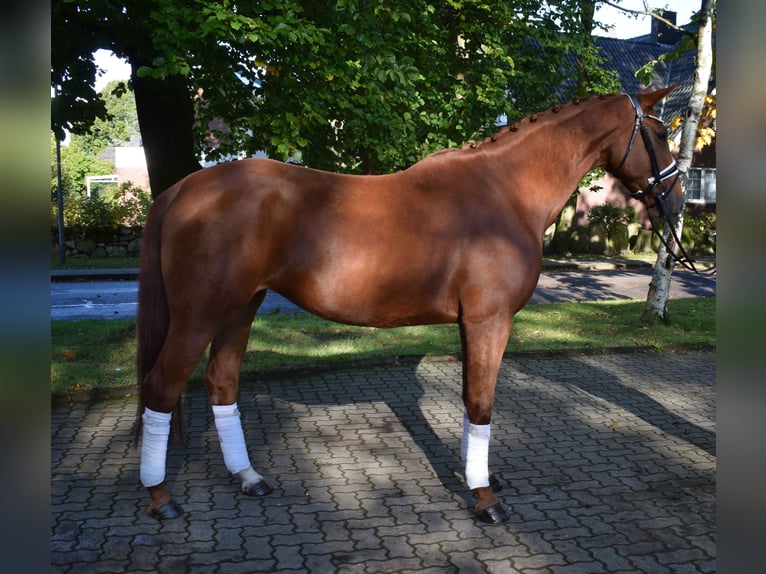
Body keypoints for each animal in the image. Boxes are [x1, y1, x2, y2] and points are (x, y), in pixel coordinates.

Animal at [136, 88, 684, 524]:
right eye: (658, 134)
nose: (676, 202)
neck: (505, 192)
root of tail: (182, 189)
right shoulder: (489, 320)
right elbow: (481, 402)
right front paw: (485, 500)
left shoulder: (471, 323)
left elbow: (468, 398)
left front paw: (477, 477)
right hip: (200, 315)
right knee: (161, 387)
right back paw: (160, 497)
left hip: (239, 309)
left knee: (221, 381)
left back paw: (248, 476)